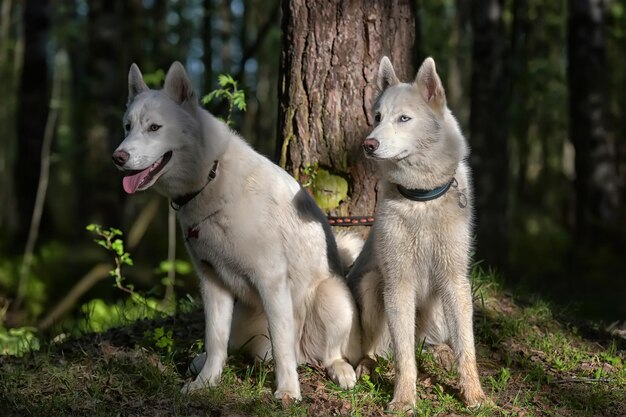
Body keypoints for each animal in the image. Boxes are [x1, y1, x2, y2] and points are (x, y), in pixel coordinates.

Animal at [112, 62, 360, 400]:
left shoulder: (271, 280)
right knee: (235, 346)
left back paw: (339, 370)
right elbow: (215, 340)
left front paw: (287, 392)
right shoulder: (213, 283)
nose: (118, 157)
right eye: (127, 127)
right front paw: (205, 382)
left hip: (331, 297)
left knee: (329, 352)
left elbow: (282, 346)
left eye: (154, 128)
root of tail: (306, 355)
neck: (211, 177)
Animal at [346, 57, 488, 408]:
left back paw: (441, 352)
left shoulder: (455, 280)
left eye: (404, 118)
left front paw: (474, 395)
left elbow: (467, 348)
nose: (368, 145)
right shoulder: (398, 283)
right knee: (379, 349)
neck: (421, 198)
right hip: (372, 285)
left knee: (432, 342)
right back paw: (368, 364)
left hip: (438, 305)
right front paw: (404, 399)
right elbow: (404, 356)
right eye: (378, 117)